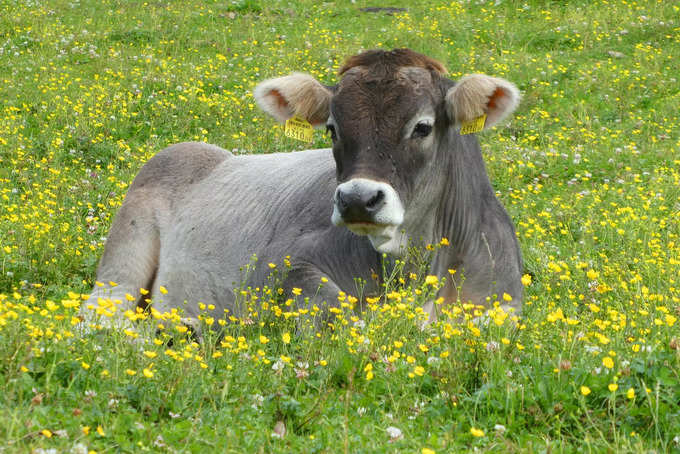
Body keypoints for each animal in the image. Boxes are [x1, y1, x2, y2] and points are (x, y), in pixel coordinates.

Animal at [82, 49, 524, 334]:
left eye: (423, 126)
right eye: (332, 128)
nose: (357, 199)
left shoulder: (505, 302)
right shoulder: (283, 267)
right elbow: (339, 314)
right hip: (121, 266)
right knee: (102, 317)